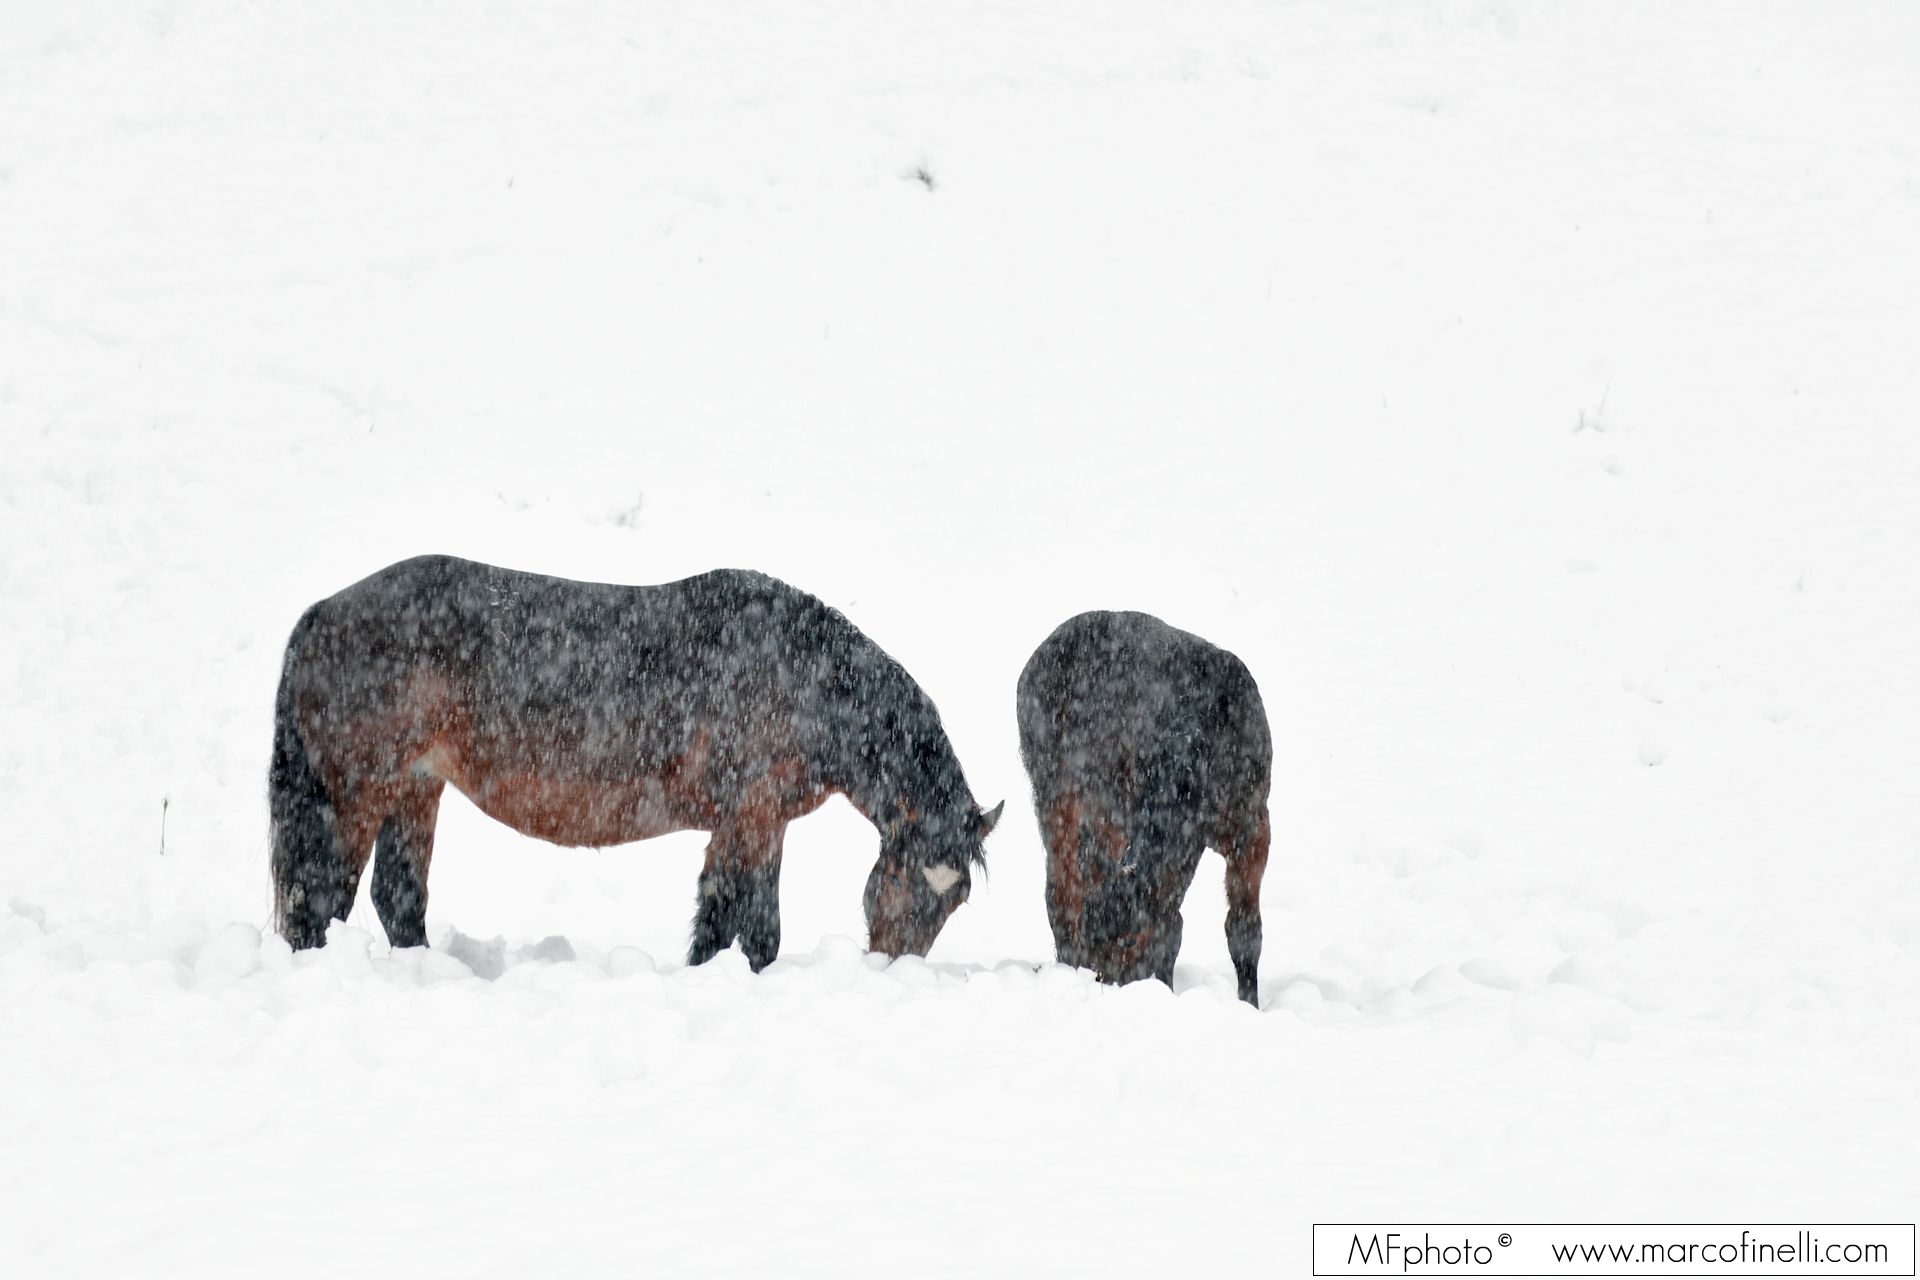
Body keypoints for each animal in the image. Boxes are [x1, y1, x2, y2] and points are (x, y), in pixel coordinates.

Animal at [269, 555, 1002, 969]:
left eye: (958, 896)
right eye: (907, 878)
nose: (893, 968)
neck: (802, 676)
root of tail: (321, 613)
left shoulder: (748, 825)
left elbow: (729, 921)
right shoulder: (754, 818)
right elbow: (748, 926)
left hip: (416, 788)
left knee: (397, 899)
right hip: (361, 792)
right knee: (320, 898)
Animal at [1016, 611, 1271, 1006]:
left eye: (1131, 941)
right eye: (1095, 941)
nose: (1105, 984)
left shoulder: (1254, 826)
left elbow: (1241, 931)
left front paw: (1249, 1005)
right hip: (1058, 795)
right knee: (1061, 891)